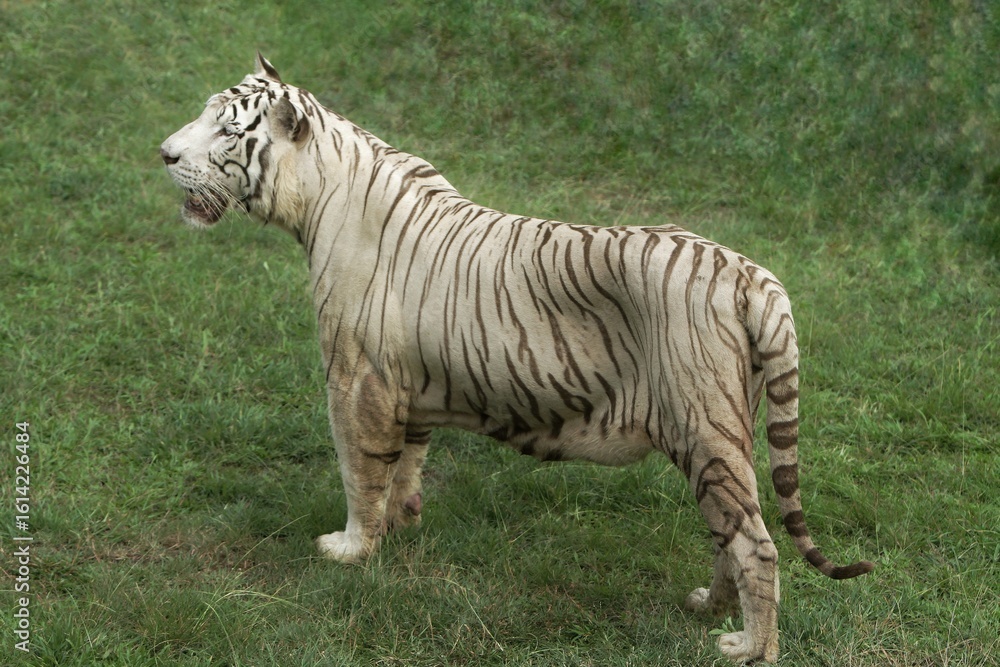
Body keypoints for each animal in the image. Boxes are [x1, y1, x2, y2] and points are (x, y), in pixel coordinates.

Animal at [160, 53, 873, 663]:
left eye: (226, 129)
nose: (163, 154)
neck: (315, 201)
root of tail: (750, 273)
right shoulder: (409, 383)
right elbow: (404, 466)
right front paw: (400, 527)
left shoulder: (356, 379)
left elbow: (359, 471)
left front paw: (351, 548)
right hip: (728, 429)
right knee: (730, 531)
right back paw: (709, 606)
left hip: (704, 426)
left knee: (755, 542)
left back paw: (749, 647)